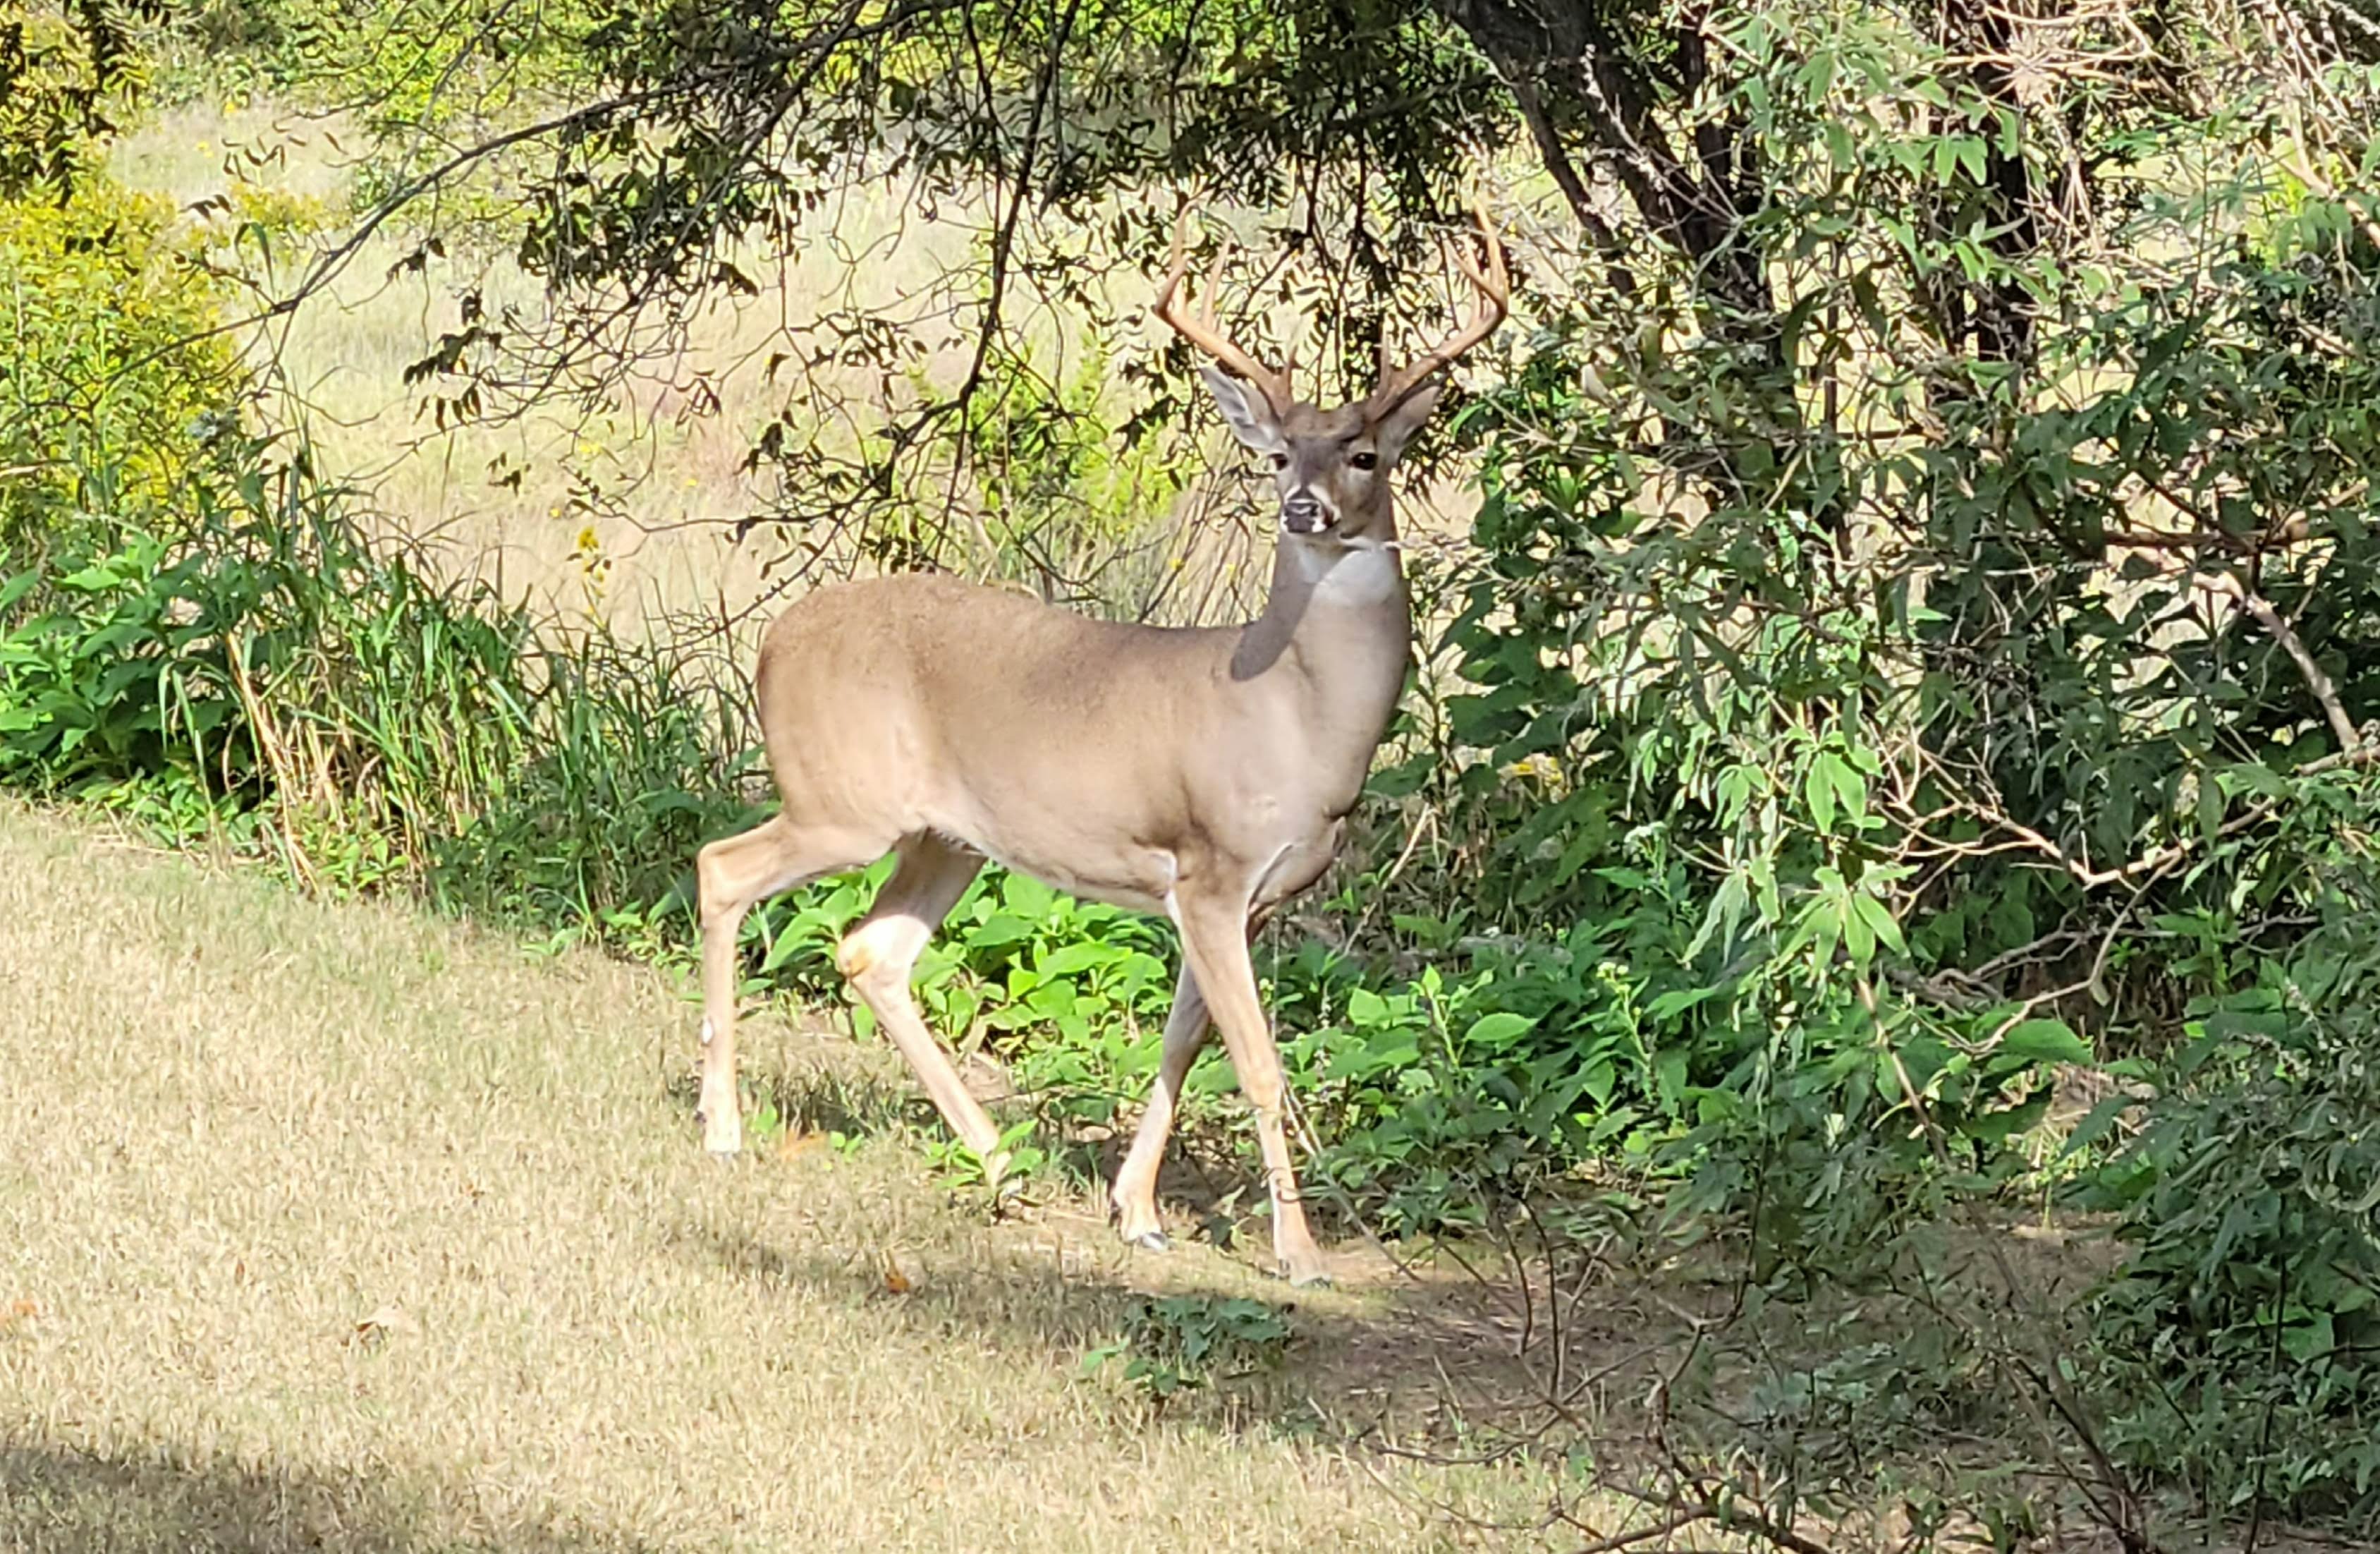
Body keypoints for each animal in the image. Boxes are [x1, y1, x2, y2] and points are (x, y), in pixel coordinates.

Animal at [691, 201, 1507, 1286]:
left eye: (1364, 455)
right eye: (1278, 455)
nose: (1304, 506)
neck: (1295, 716)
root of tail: (771, 641)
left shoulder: (1240, 899)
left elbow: (1181, 1041)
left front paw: (1139, 1210)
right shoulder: (1211, 866)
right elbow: (1258, 1062)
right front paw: (1298, 1253)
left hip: (942, 835)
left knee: (871, 950)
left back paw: (1000, 1163)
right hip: (839, 800)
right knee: (723, 866)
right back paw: (723, 1125)